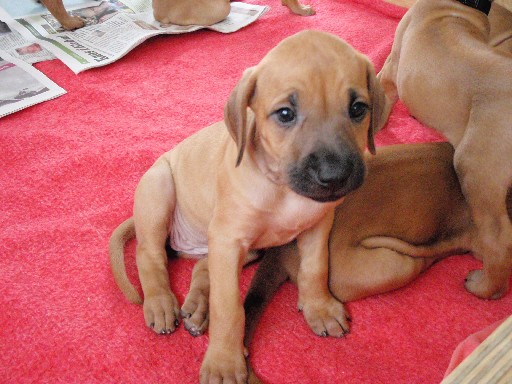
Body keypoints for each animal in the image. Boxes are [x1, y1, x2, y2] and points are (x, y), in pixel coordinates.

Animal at [109, 30, 388, 384]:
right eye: (285, 114)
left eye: (357, 108)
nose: (334, 176)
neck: (283, 189)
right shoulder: (229, 240)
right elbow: (229, 307)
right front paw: (224, 363)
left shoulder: (317, 225)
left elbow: (316, 267)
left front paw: (319, 307)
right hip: (159, 190)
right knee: (150, 255)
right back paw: (160, 302)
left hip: (237, 246)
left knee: (202, 267)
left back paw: (198, 307)